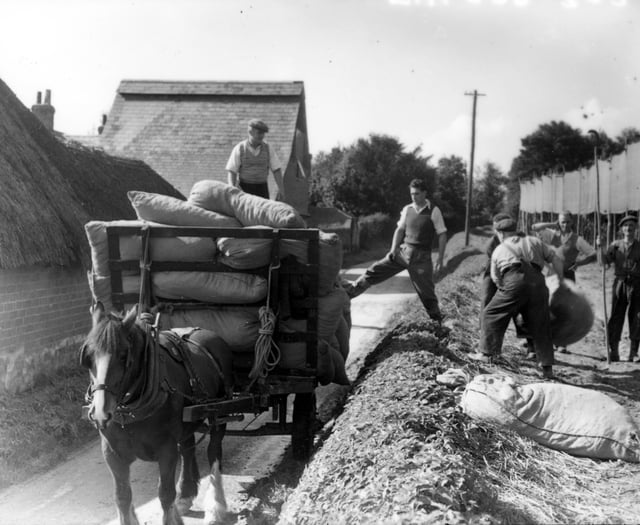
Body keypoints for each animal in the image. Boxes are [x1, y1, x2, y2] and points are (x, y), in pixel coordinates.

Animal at [79, 302, 231, 524]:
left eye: (124, 356)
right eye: (88, 358)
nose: (100, 413)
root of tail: (209, 332)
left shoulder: (166, 450)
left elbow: (165, 494)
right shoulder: (112, 453)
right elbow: (122, 497)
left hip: (219, 414)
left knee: (214, 452)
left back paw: (216, 506)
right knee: (187, 449)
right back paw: (185, 495)